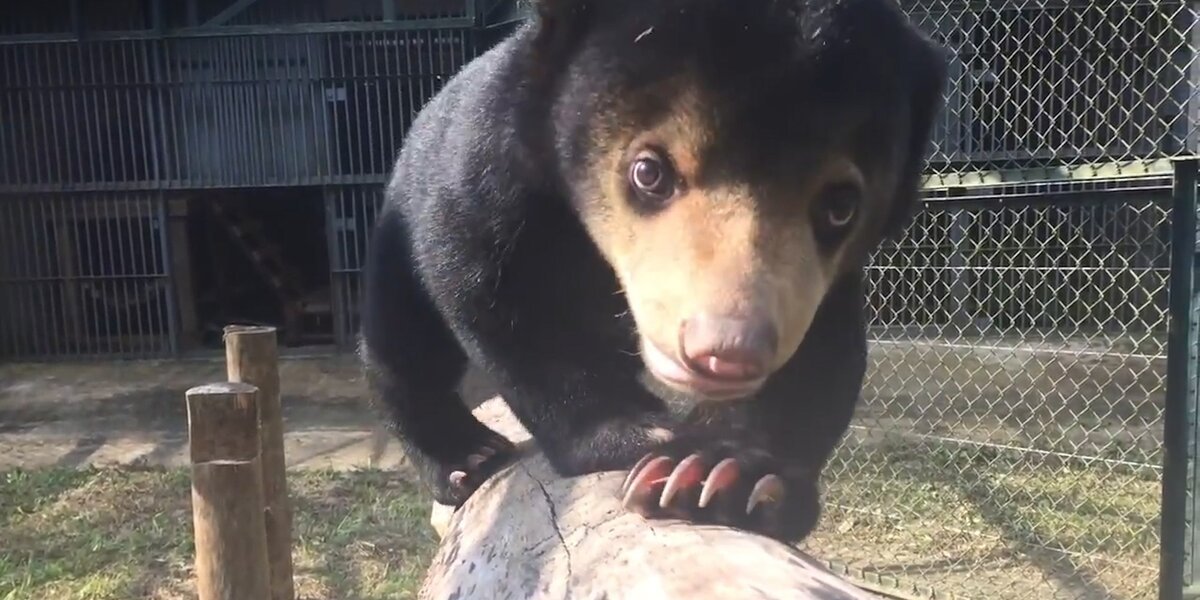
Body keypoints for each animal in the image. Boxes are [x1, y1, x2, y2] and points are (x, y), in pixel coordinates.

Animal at [357, 0, 945, 544]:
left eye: (841, 206)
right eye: (649, 172)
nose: (728, 351)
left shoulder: (819, 281)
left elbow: (822, 353)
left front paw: (721, 476)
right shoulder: (493, 171)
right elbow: (490, 289)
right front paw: (639, 434)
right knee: (404, 344)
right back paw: (467, 458)